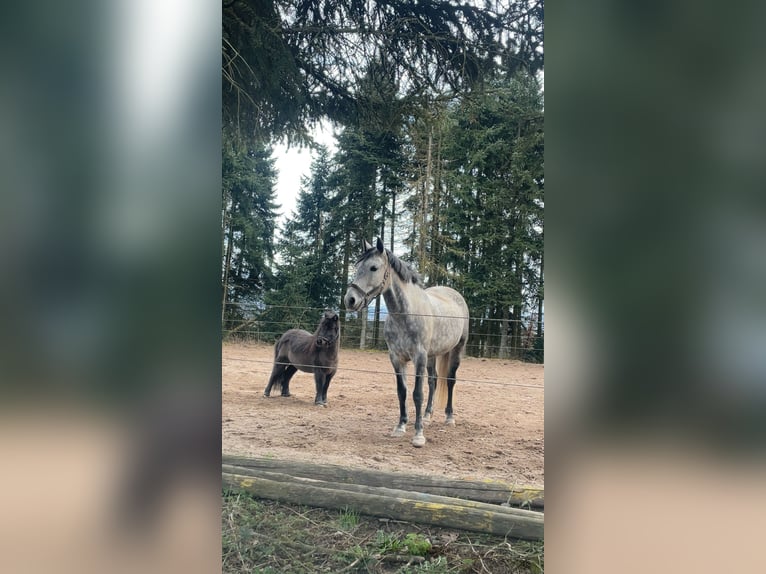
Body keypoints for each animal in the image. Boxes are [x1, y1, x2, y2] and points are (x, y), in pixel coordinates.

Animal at [346, 238, 468, 450]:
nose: (350, 299)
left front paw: (418, 435)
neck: (405, 313)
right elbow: (402, 392)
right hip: (432, 355)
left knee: (450, 380)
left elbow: (417, 393)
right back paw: (427, 416)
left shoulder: (419, 357)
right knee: (433, 380)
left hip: (456, 349)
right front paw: (400, 426)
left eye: (373, 267)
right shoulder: (396, 358)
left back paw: (449, 417)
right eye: (356, 266)